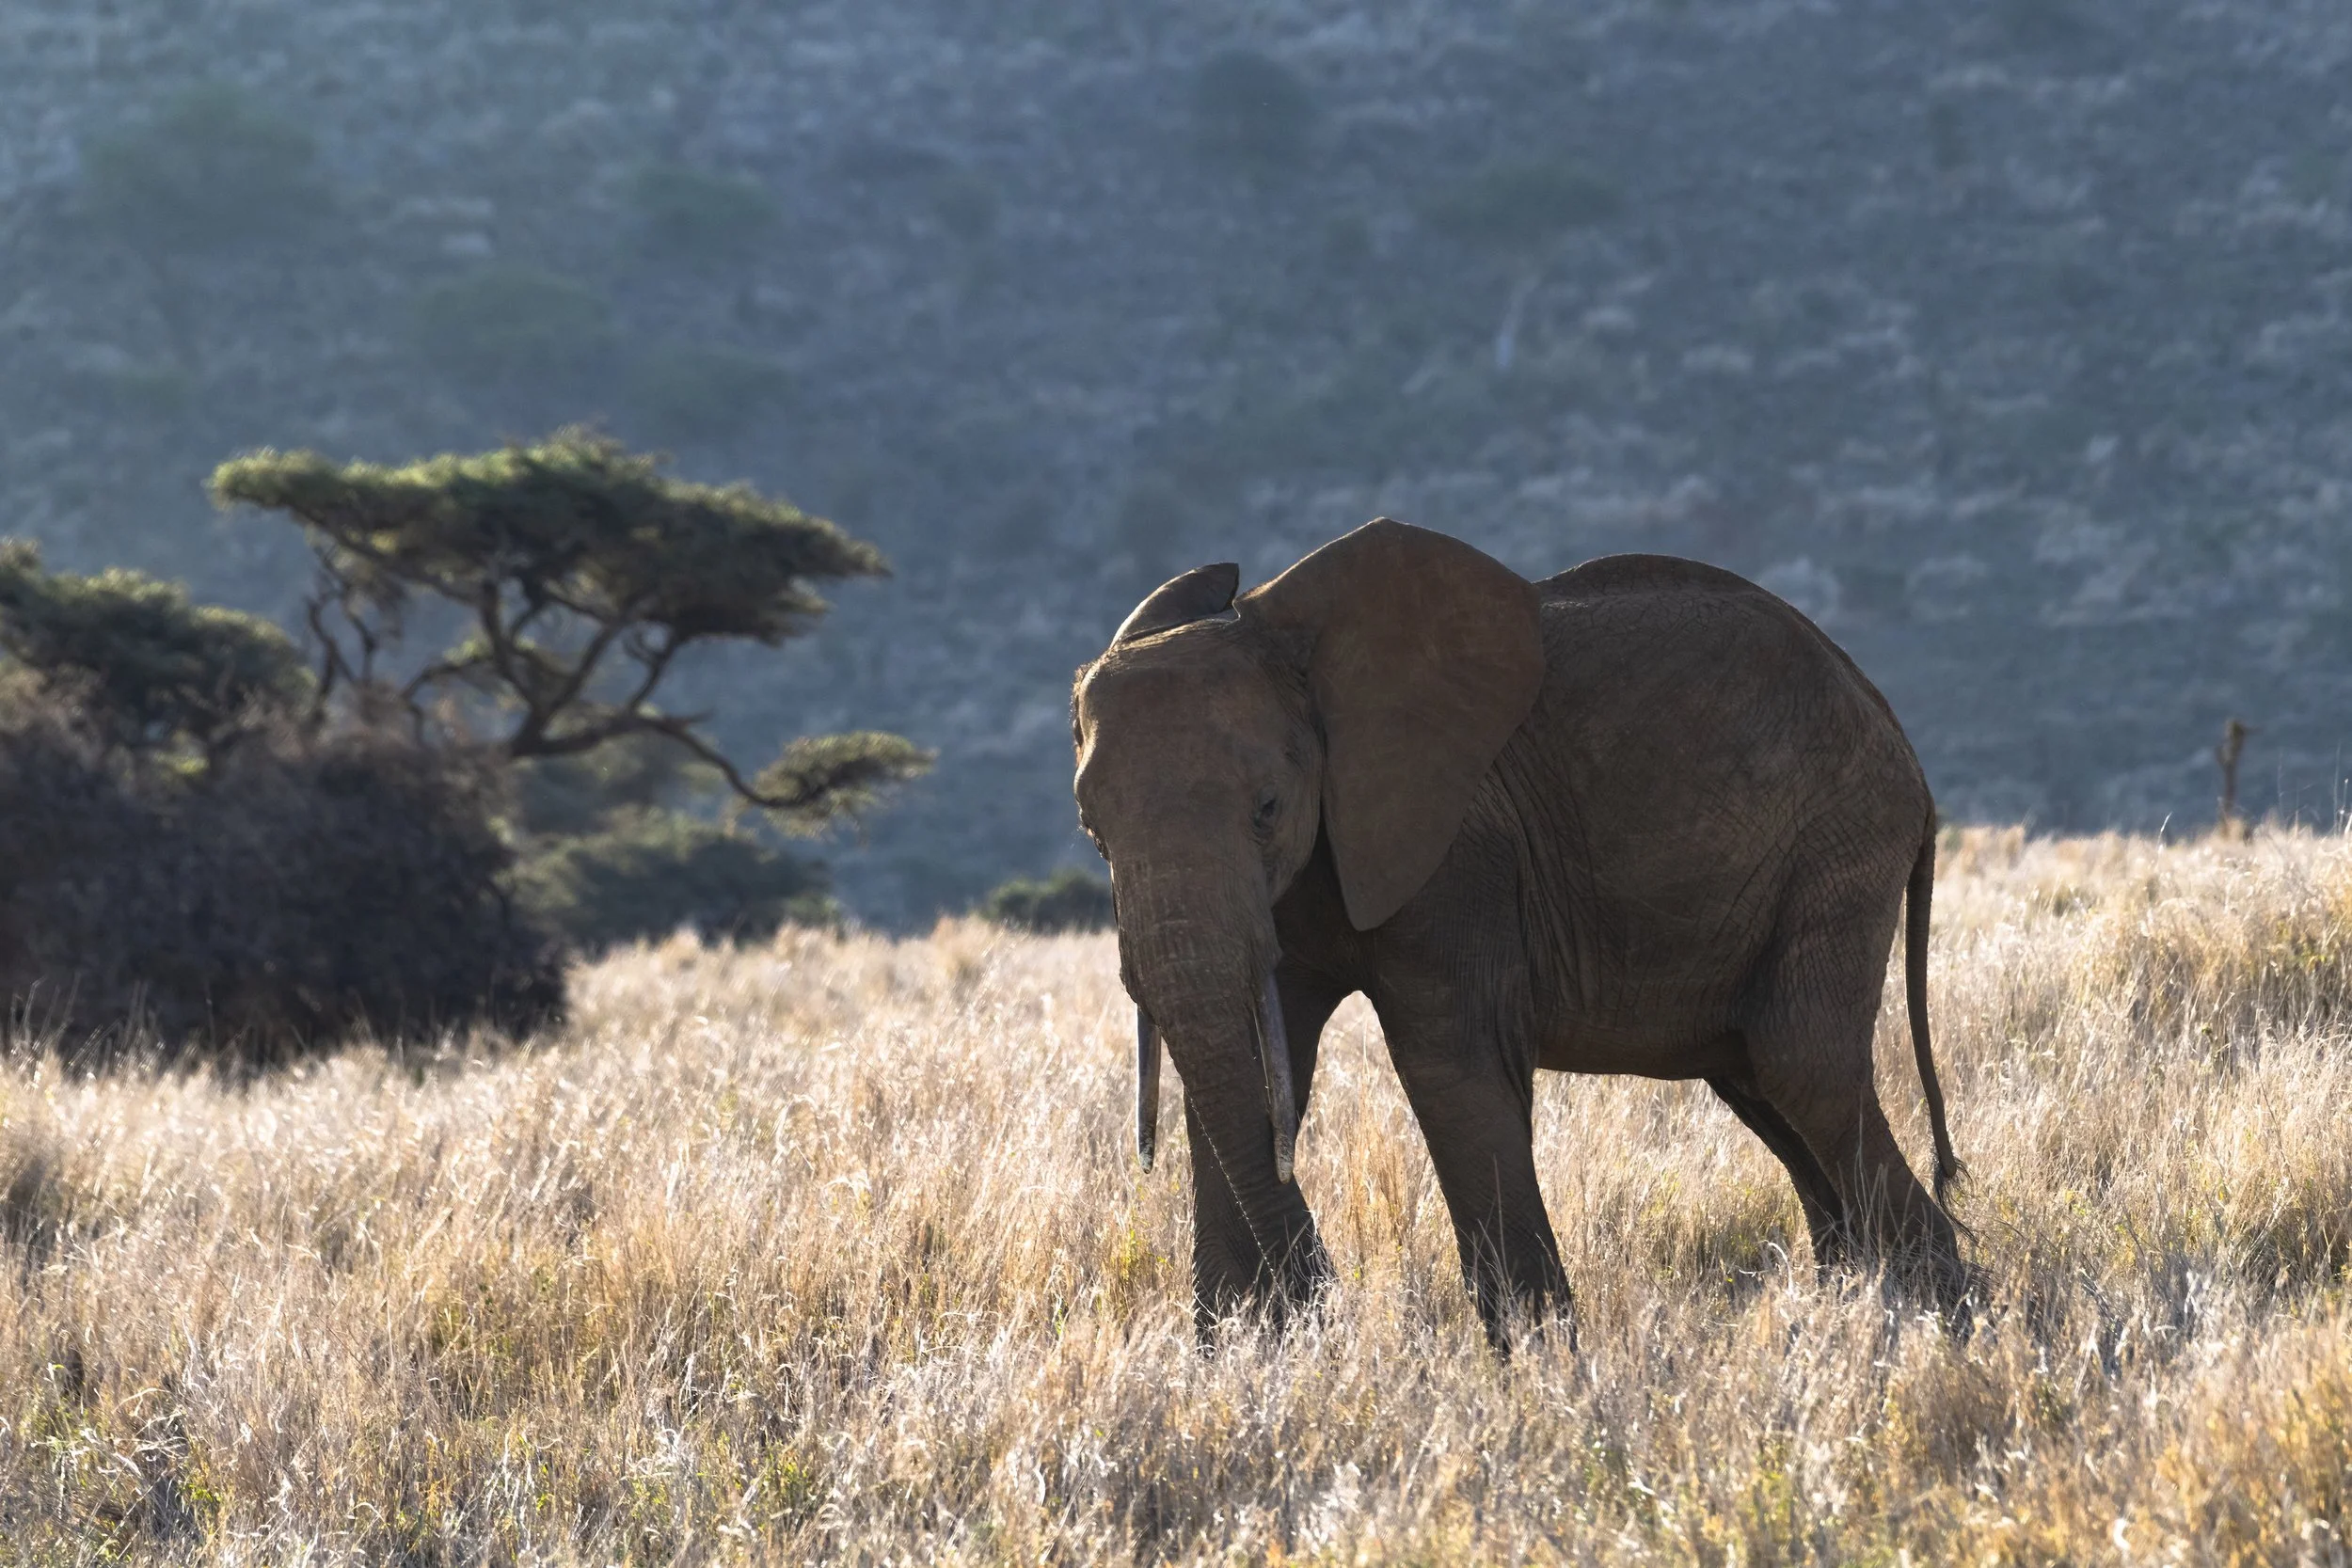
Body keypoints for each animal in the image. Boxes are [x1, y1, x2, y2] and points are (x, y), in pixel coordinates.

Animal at [1070, 518, 1965, 1343]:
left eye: (1266, 807)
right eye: (1090, 828)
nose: (1324, 1298)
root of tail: (1904, 745)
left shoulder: (1459, 845)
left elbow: (1448, 1061)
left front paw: (1540, 1360)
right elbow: (1262, 1055)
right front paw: (1240, 1356)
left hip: (1839, 842)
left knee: (1801, 1064)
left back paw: (1950, 1328)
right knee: (1763, 1077)